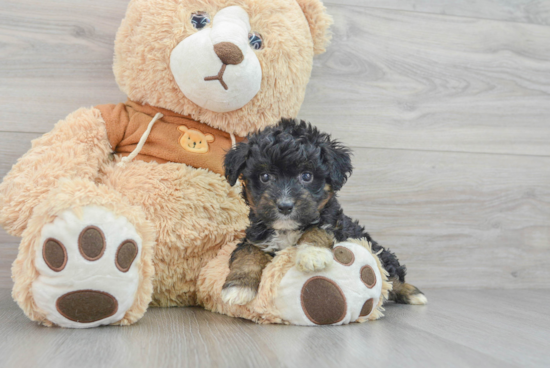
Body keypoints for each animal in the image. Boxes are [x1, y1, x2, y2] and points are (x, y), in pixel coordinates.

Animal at [222, 120, 430, 304]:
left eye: (307, 176)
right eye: (265, 177)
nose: (285, 206)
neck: (287, 229)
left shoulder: (334, 224)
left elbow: (317, 229)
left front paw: (313, 254)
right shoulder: (255, 237)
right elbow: (247, 253)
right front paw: (239, 287)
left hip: (378, 250)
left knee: (390, 275)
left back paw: (412, 293)